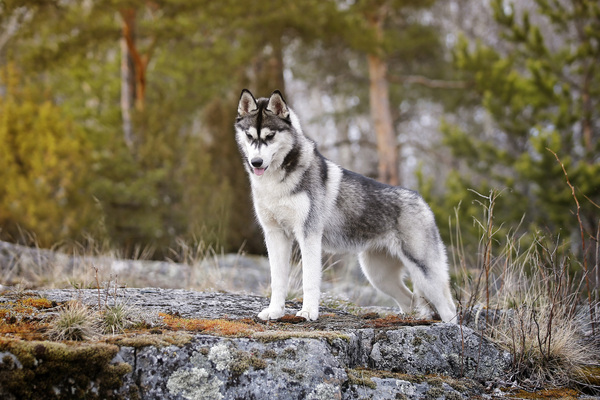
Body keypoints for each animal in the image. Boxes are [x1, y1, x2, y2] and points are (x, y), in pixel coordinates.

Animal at [234, 90, 454, 322]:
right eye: (249, 136)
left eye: (270, 136)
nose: (256, 162)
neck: (276, 183)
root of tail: (422, 201)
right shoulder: (275, 235)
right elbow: (277, 281)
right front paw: (275, 312)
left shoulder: (309, 235)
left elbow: (309, 281)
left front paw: (308, 312)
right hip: (378, 275)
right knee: (411, 300)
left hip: (424, 274)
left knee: (448, 309)